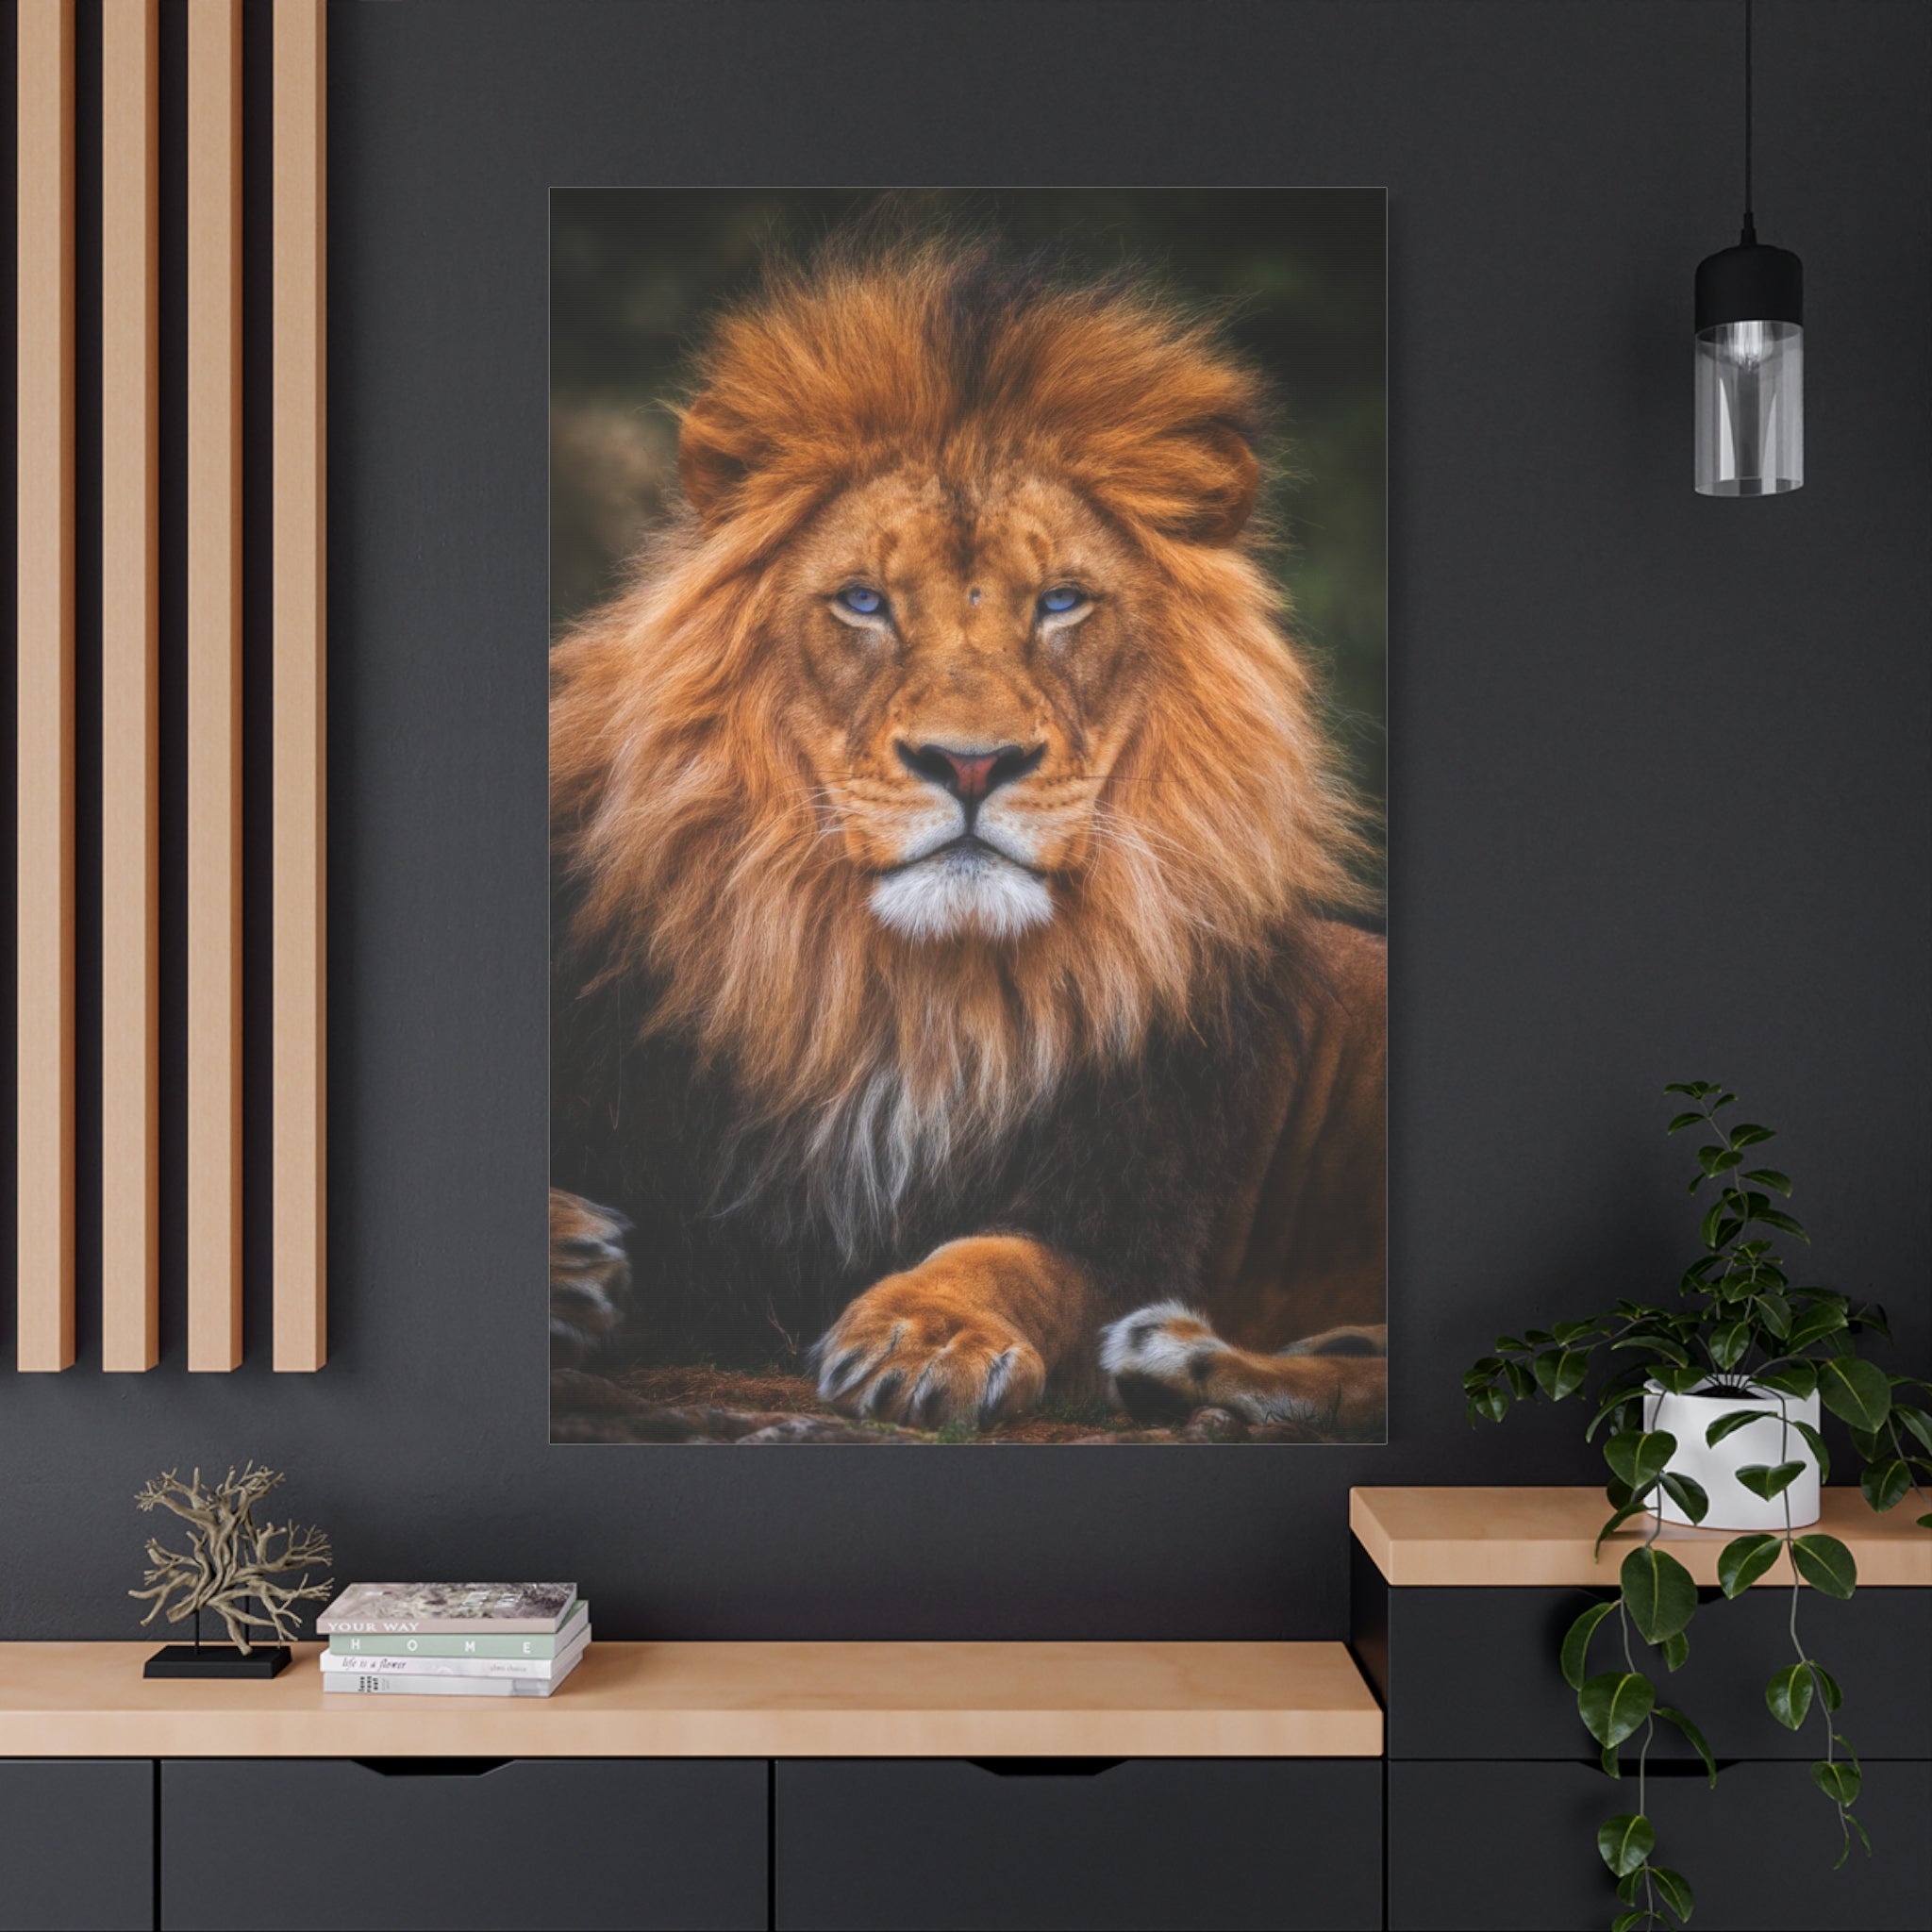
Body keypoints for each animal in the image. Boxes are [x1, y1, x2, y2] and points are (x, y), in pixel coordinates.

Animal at [550, 234, 1387, 1439]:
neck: (911, 996)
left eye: (1060, 601)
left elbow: (1010, 1257)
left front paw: (925, 1332)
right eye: (862, 600)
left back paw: (1178, 1355)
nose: (972, 763)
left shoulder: (1129, 1203)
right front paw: (568, 1257)